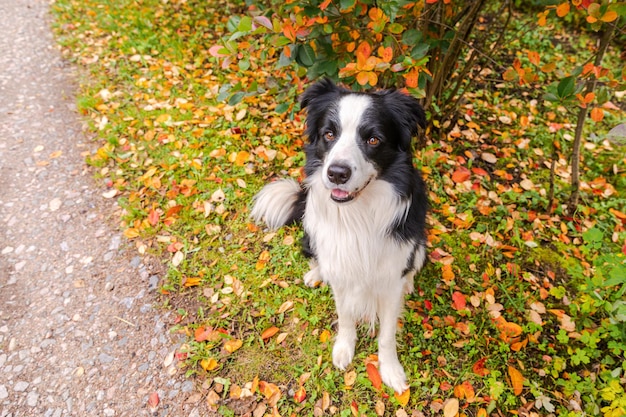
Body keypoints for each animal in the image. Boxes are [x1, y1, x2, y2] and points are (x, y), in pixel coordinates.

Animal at [251, 79, 426, 394]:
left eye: (373, 140)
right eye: (329, 134)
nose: (336, 173)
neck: (358, 215)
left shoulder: (391, 275)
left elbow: (387, 332)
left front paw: (390, 370)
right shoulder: (342, 268)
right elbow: (345, 315)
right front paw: (344, 349)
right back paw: (316, 273)